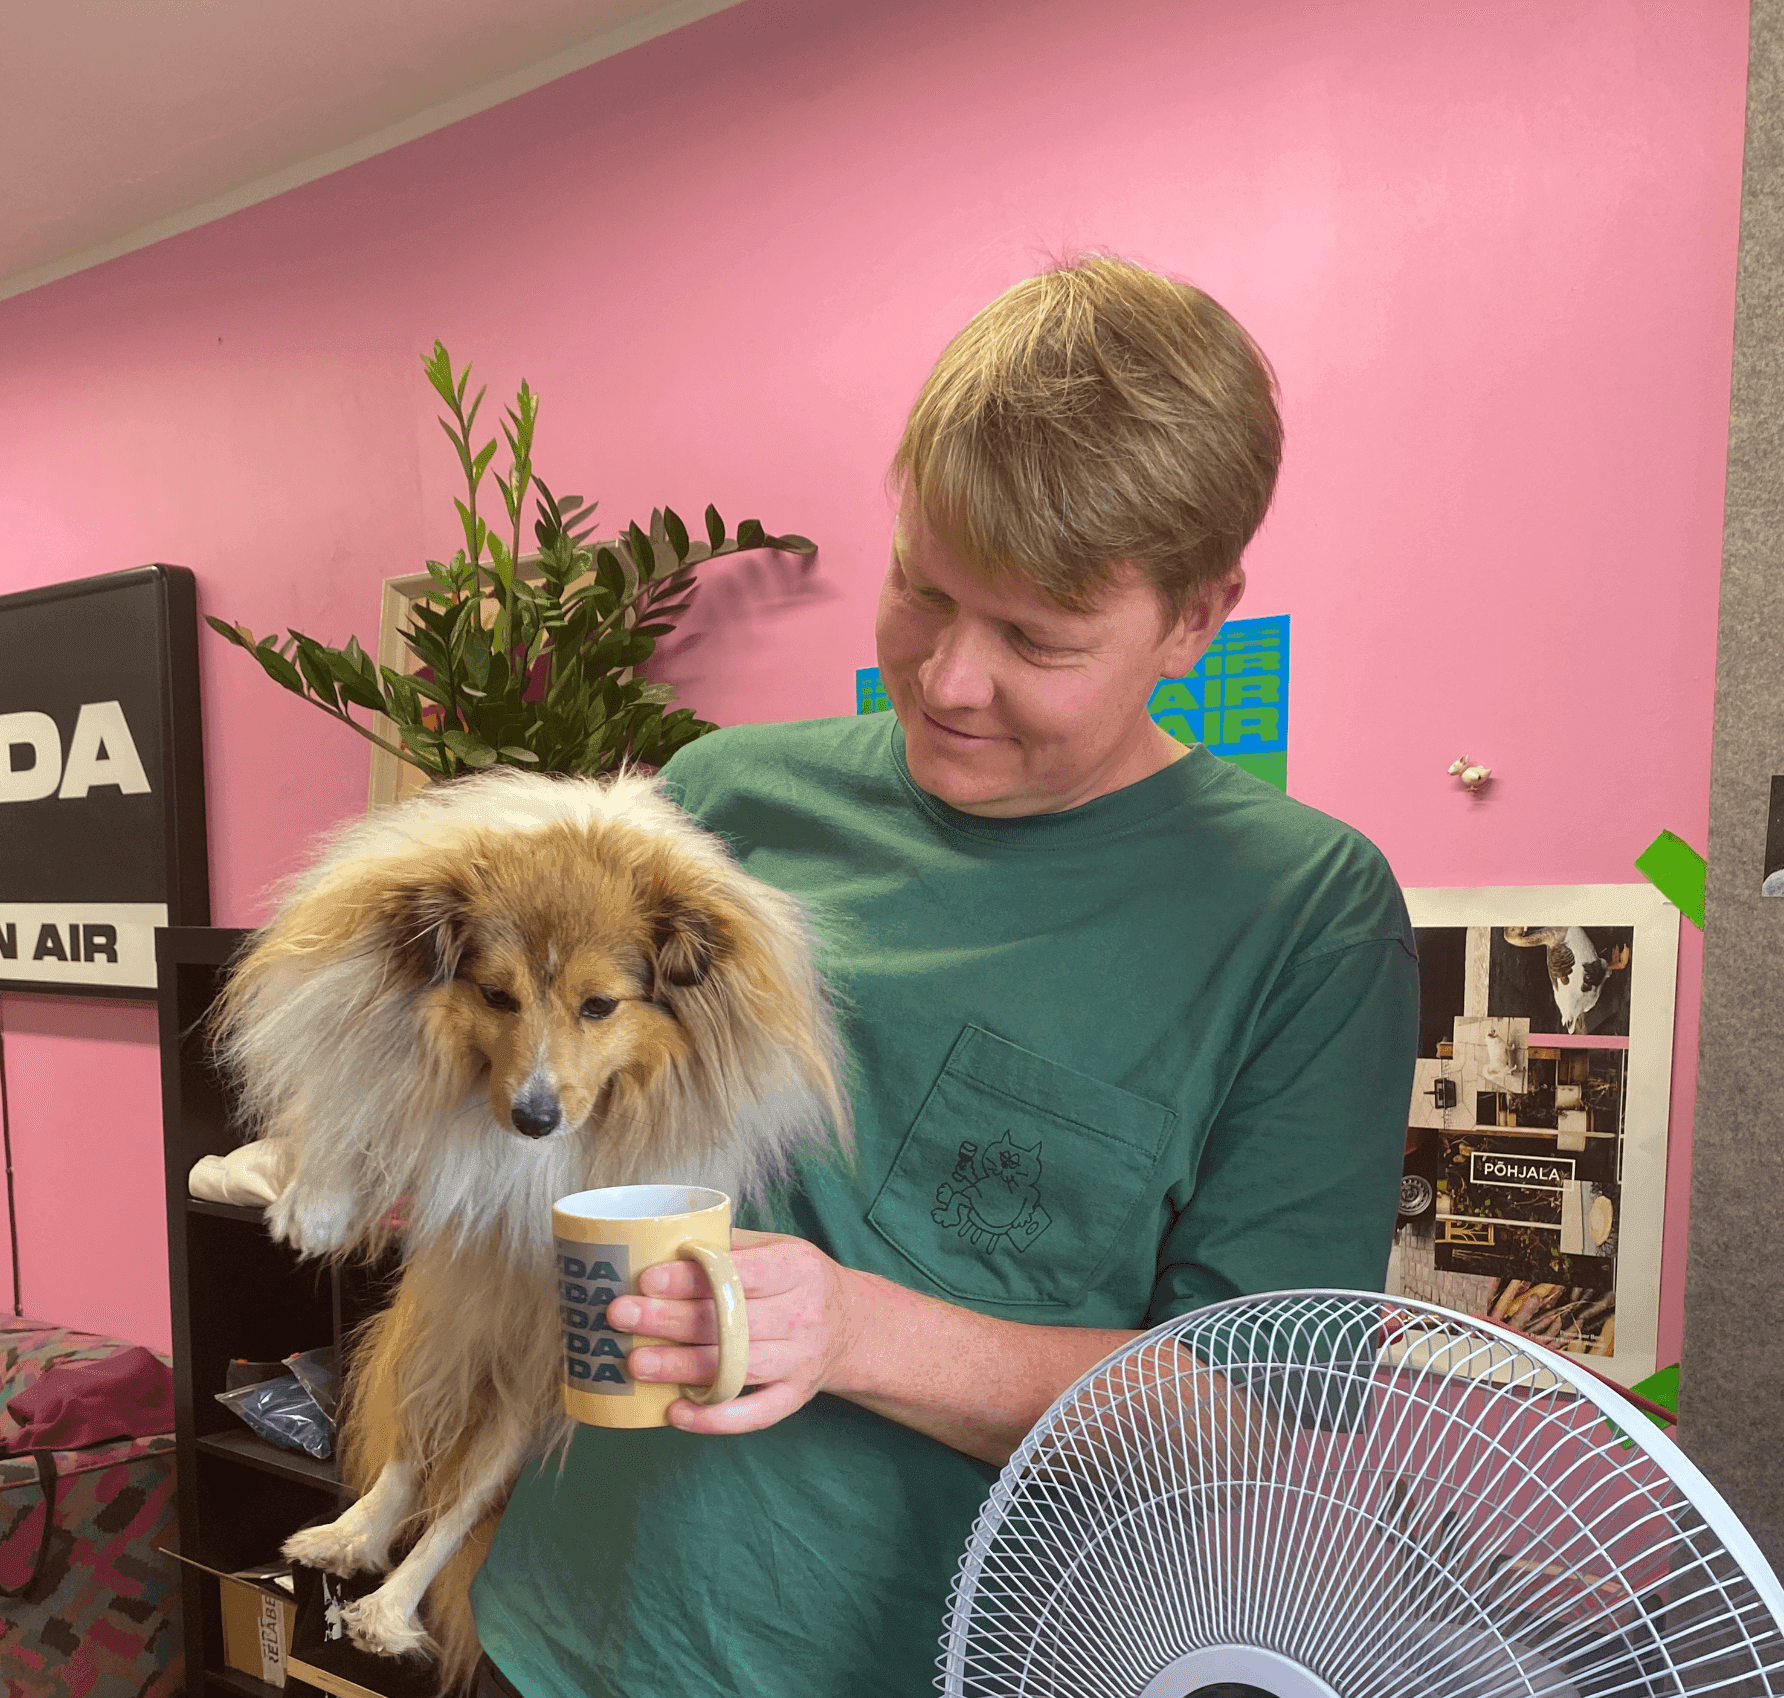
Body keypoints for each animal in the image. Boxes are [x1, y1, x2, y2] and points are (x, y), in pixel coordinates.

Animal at [212, 767, 852, 1690]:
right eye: (495, 995)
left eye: (600, 1005)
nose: (534, 1118)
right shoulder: (414, 1061)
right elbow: (381, 1113)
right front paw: (317, 1202)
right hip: (438, 1333)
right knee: (413, 1457)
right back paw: (348, 1535)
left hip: (523, 1396)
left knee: (456, 1505)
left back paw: (387, 1612)